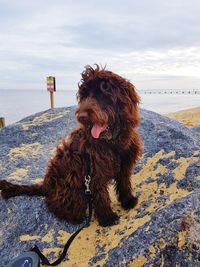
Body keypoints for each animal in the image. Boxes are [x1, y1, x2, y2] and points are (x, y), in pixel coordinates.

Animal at [0, 65, 142, 226]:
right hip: (71, 185)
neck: (111, 143)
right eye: (84, 96)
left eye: (103, 92)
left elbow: (124, 182)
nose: (81, 116)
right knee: (55, 204)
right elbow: (101, 195)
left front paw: (128, 201)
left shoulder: (125, 164)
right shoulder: (93, 172)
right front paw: (108, 217)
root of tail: (46, 185)